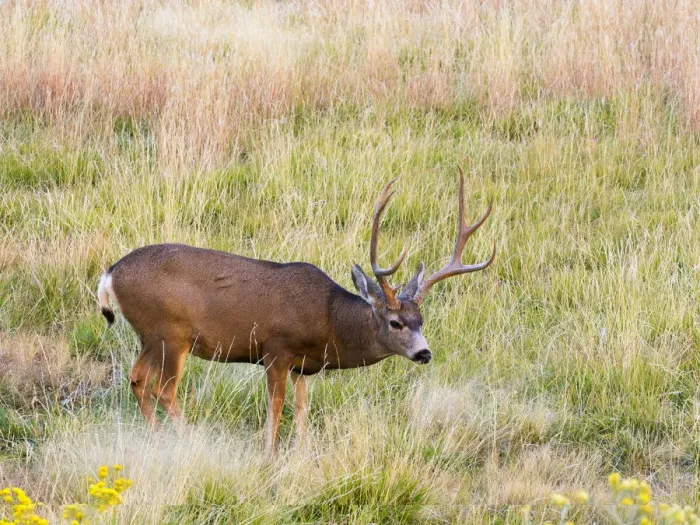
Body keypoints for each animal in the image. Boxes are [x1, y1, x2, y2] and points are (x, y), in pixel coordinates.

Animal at [97, 167, 495, 455]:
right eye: (395, 322)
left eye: (421, 320)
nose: (424, 353)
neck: (329, 320)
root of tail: (110, 273)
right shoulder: (276, 349)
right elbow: (276, 405)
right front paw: (269, 454)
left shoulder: (304, 365)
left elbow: (303, 407)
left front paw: (303, 451)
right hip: (170, 333)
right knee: (164, 389)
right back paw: (190, 441)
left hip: (150, 336)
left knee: (137, 379)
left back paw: (157, 437)